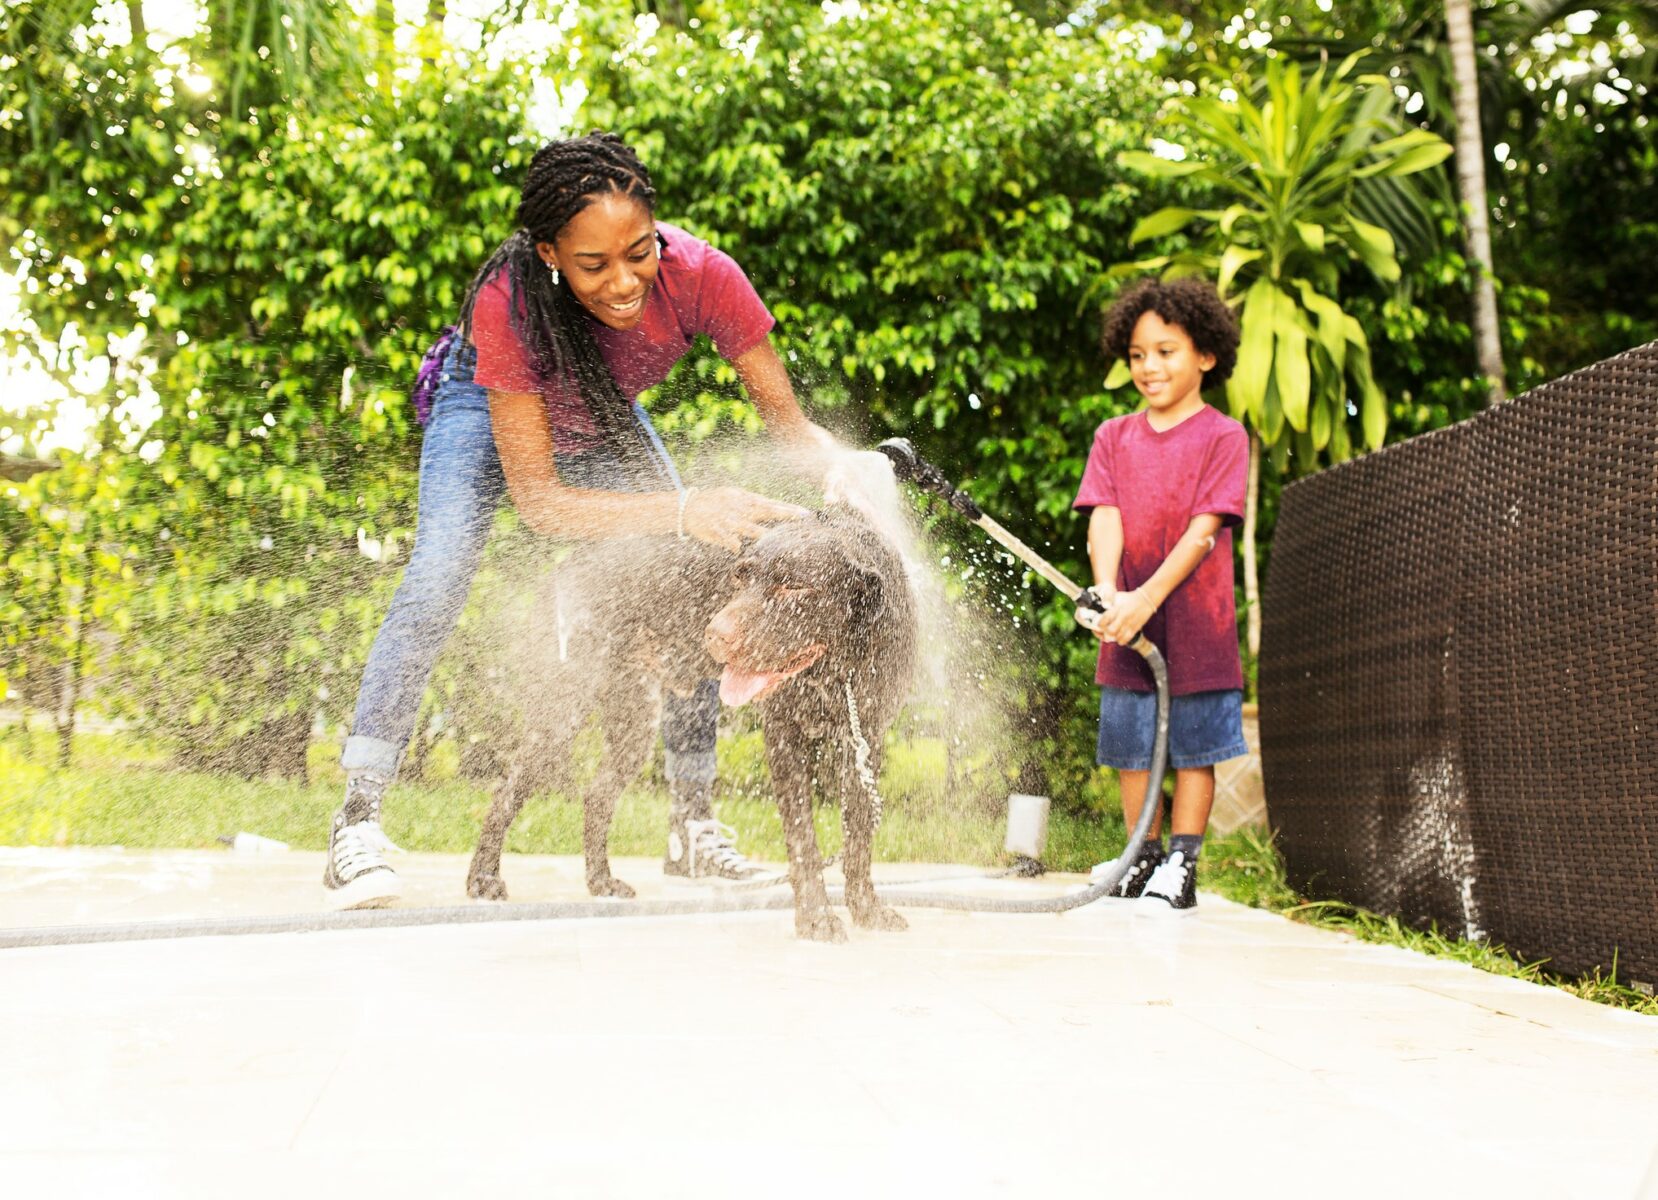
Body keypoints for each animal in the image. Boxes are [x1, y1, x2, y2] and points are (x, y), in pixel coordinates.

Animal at [460, 500, 915, 941]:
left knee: (598, 795)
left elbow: (859, 842)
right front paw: (817, 919)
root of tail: (561, 568)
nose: (716, 635)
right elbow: (805, 843)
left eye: (795, 586)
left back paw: (601, 881)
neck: (840, 666)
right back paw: (484, 879)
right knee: (506, 793)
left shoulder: (866, 745)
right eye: (740, 575)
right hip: (561, 713)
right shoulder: (784, 740)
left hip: (634, 727)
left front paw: (866, 908)